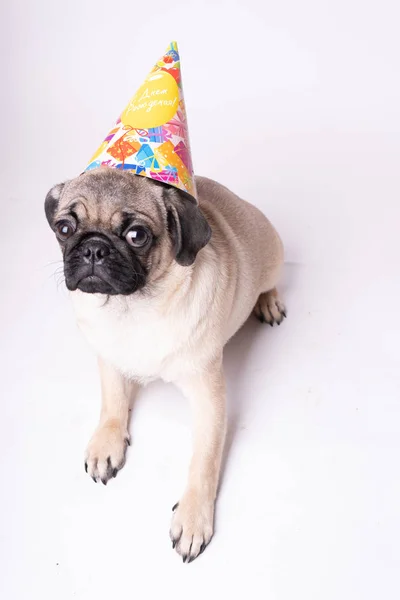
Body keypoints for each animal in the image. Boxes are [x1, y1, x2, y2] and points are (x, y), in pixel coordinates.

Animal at [45, 168, 286, 564]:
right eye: (64, 228)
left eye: (136, 235)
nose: (93, 247)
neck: (132, 309)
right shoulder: (107, 355)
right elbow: (112, 401)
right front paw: (107, 440)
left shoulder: (208, 396)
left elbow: (204, 460)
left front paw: (192, 516)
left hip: (270, 262)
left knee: (270, 284)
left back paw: (268, 302)